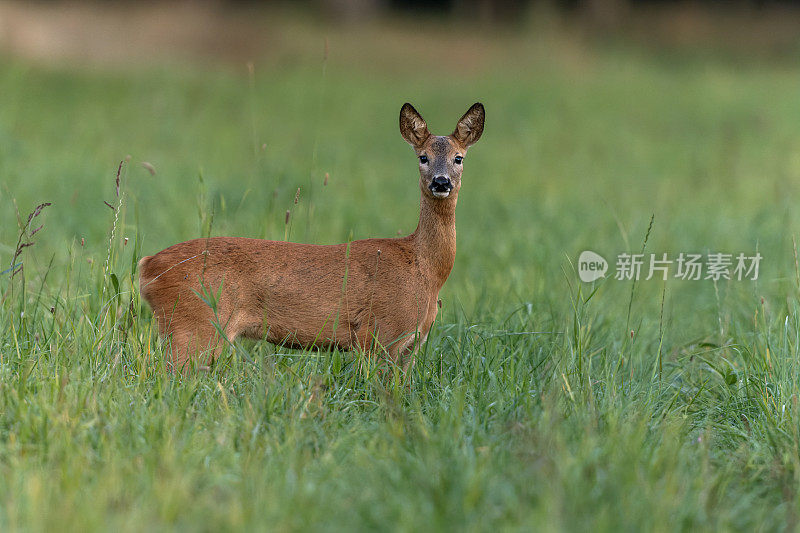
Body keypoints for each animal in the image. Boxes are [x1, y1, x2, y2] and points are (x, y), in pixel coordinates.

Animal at [138, 103, 484, 370]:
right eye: (422, 157)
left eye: (459, 158)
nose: (441, 182)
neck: (424, 268)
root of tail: (147, 266)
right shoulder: (379, 334)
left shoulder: (411, 345)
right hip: (194, 324)